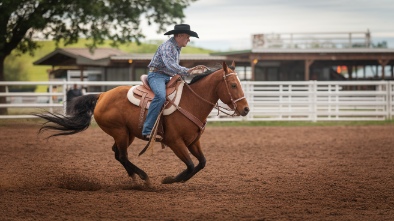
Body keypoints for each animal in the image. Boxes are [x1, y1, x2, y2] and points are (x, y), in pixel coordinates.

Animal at [33, 61, 249, 185]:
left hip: (126, 134)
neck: (190, 102)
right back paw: (144, 177)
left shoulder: (193, 141)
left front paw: (177, 180)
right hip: (120, 132)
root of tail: (102, 95)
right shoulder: (174, 142)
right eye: (233, 85)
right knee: (122, 155)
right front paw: (169, 180)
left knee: (118, 155)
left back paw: (135, 177)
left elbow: (201, 163)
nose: (246, 109)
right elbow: (189, 164)